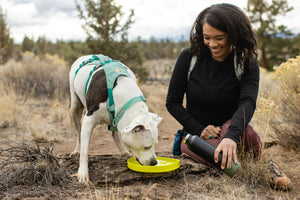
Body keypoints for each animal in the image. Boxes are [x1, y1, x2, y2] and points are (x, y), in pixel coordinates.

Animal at [69, 54, 162, 183]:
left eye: (155, 144)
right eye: (147, 147)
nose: (154, 162)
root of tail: (85, 56)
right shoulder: (89, 120)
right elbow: (84, 150)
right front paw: (82, 173)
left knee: (115, 134)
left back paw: (123, 151)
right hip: (74, 106)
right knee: (78, 132)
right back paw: (76, 149)